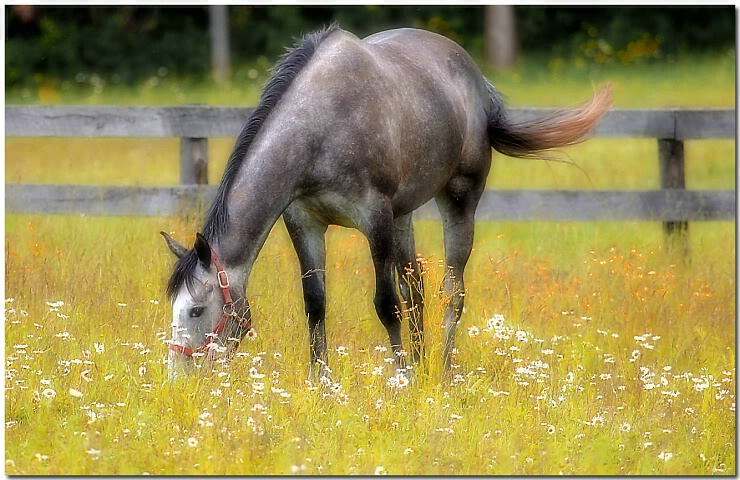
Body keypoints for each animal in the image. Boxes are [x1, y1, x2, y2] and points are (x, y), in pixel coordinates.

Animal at [163, 25, 612, 378]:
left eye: (196, 311)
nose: (178, 378)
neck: (320, 127)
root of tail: (477, 82)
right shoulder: (304, 222)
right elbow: (316, 304)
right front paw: (321, 382)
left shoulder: (374, 216)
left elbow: (385, 303)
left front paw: (402, 380)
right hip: (403, 214)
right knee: (417, 289)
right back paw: (422, 361)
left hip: (458, 199)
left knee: (452, 291)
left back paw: (441, 372)